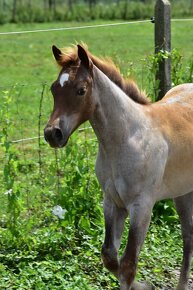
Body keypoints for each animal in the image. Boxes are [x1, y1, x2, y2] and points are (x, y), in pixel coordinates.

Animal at [44, 43, 193, 290]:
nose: (52, 134)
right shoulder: (112, 202)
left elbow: (128, 265)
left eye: (81, 90)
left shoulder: (141, 206)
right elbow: (110, 256)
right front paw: (145, 285)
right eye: (54, 89)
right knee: (188, 235)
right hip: (182, 192)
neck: (126, 137)